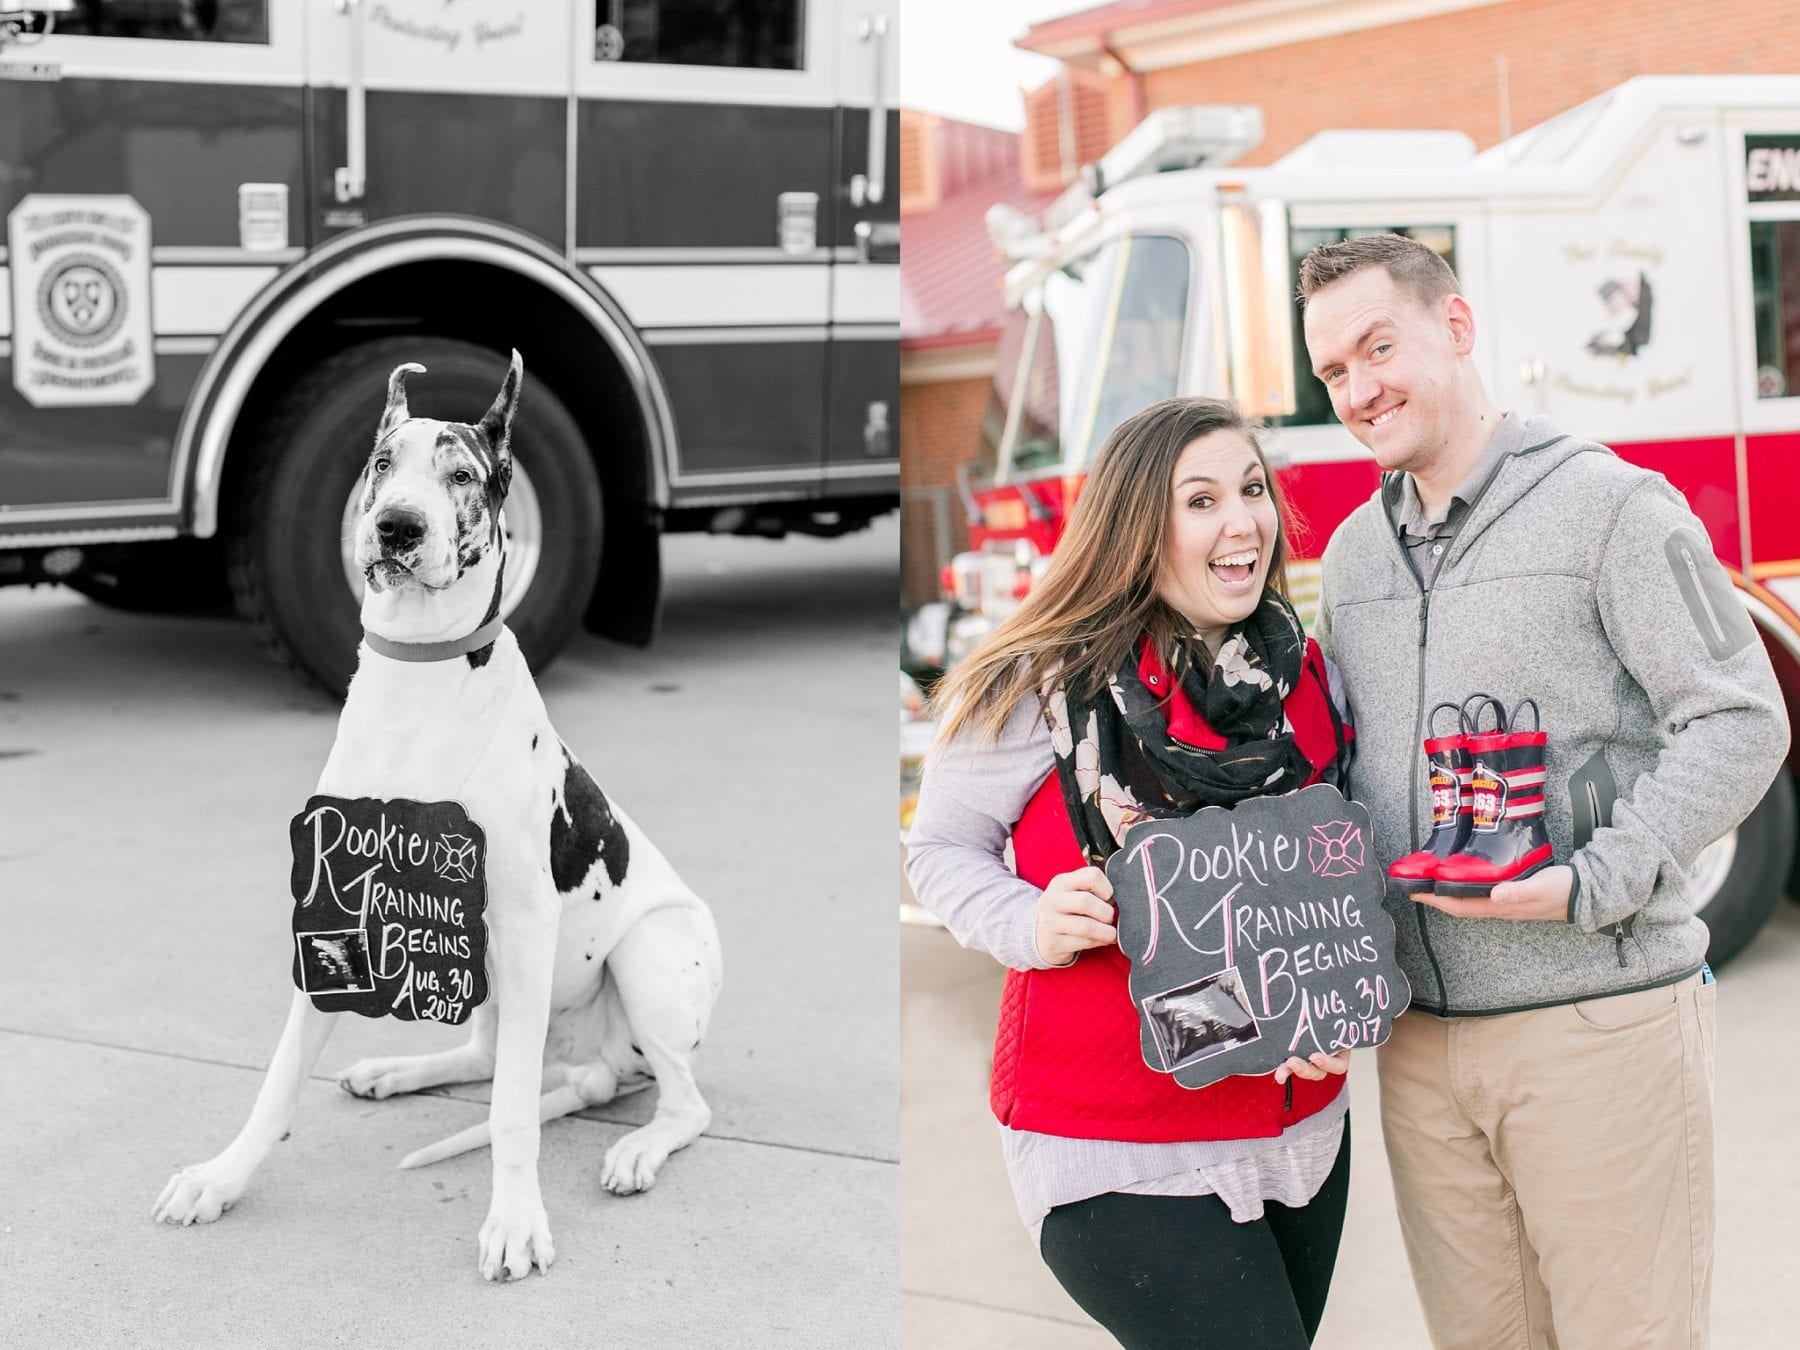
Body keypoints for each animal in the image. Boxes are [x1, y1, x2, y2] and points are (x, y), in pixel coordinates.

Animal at [151, 354, 720, 1281]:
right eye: (382, 464)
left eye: (461, 476)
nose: (397, 527)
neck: (418, 674)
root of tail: (595, 1065)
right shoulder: (336, 917)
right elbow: (279, 1080)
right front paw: (221, 1177)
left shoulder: (522, 925)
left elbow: (513, 1113)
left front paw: (515, 1222)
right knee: (489, 1057)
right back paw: (397, 1069)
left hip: (647, 957)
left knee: (680, 1103)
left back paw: (637, 1147)